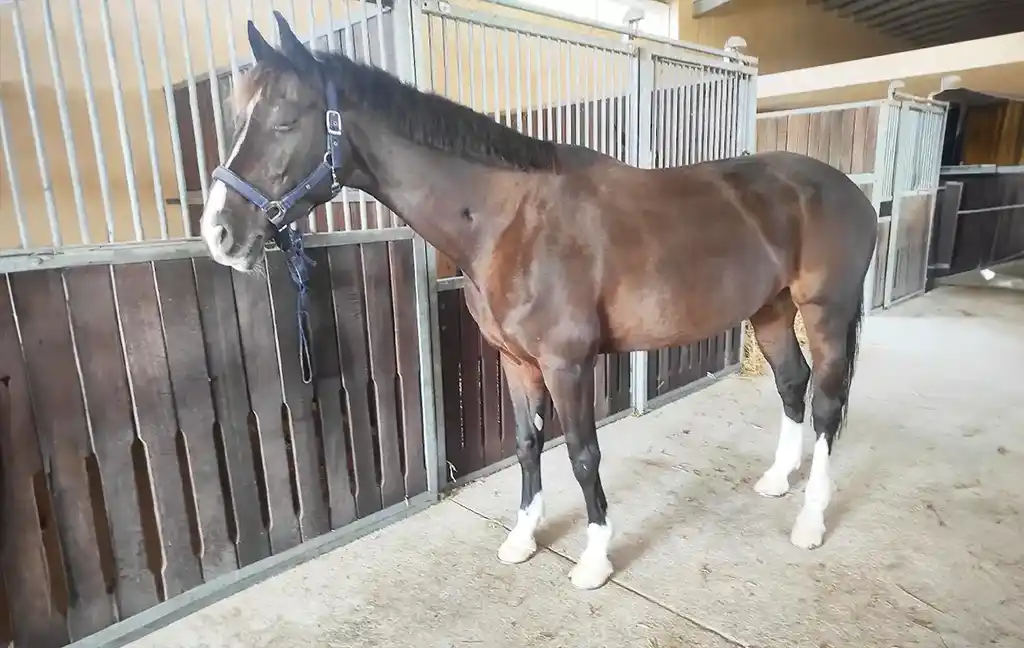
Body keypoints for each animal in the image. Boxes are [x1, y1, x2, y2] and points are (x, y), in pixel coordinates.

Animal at [199, 13, 877, 590]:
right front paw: (522, 538)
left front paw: (594, 560)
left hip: (825, 312)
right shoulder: (517, 362)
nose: (219, 233)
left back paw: (810, 521)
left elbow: (581, 454)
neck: (507, 221)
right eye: (235, 117)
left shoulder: (566, 363)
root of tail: (848, 190)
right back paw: (777, 481)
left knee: (824, 402)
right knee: (791, 385)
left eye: (286, 119)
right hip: (770, 310)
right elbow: (527, 445)